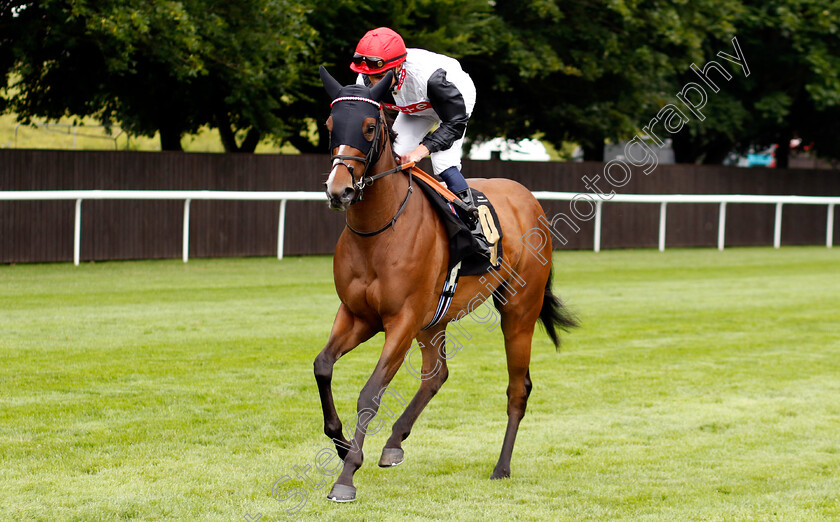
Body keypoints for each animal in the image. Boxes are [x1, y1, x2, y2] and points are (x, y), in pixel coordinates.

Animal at [316, 65, 576, 500]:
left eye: (369, 127)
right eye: (331, 124)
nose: (340, 190)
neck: (379, 230)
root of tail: (529, 199)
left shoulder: (401, 321)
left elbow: (370, 392)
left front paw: (346, 475)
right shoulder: (358, 315)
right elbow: (322, 367)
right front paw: (341, 444)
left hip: (518, 310)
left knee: (518, 388)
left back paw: (501, 467)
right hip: (434, 319)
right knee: (437, 374)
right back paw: (393, 443)